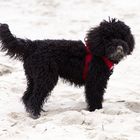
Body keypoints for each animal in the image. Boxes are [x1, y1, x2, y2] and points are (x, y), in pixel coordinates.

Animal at [0, 18, 134, 118]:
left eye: (123, 37)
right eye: (108, 38)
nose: (119, 46)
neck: (98, 52)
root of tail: (32, 45)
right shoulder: (95, 81)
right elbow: (95, 96)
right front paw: (96, 110)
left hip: (34, 77)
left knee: (27, 96)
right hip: (46, 77)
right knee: (35, 97)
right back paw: (35, 113)